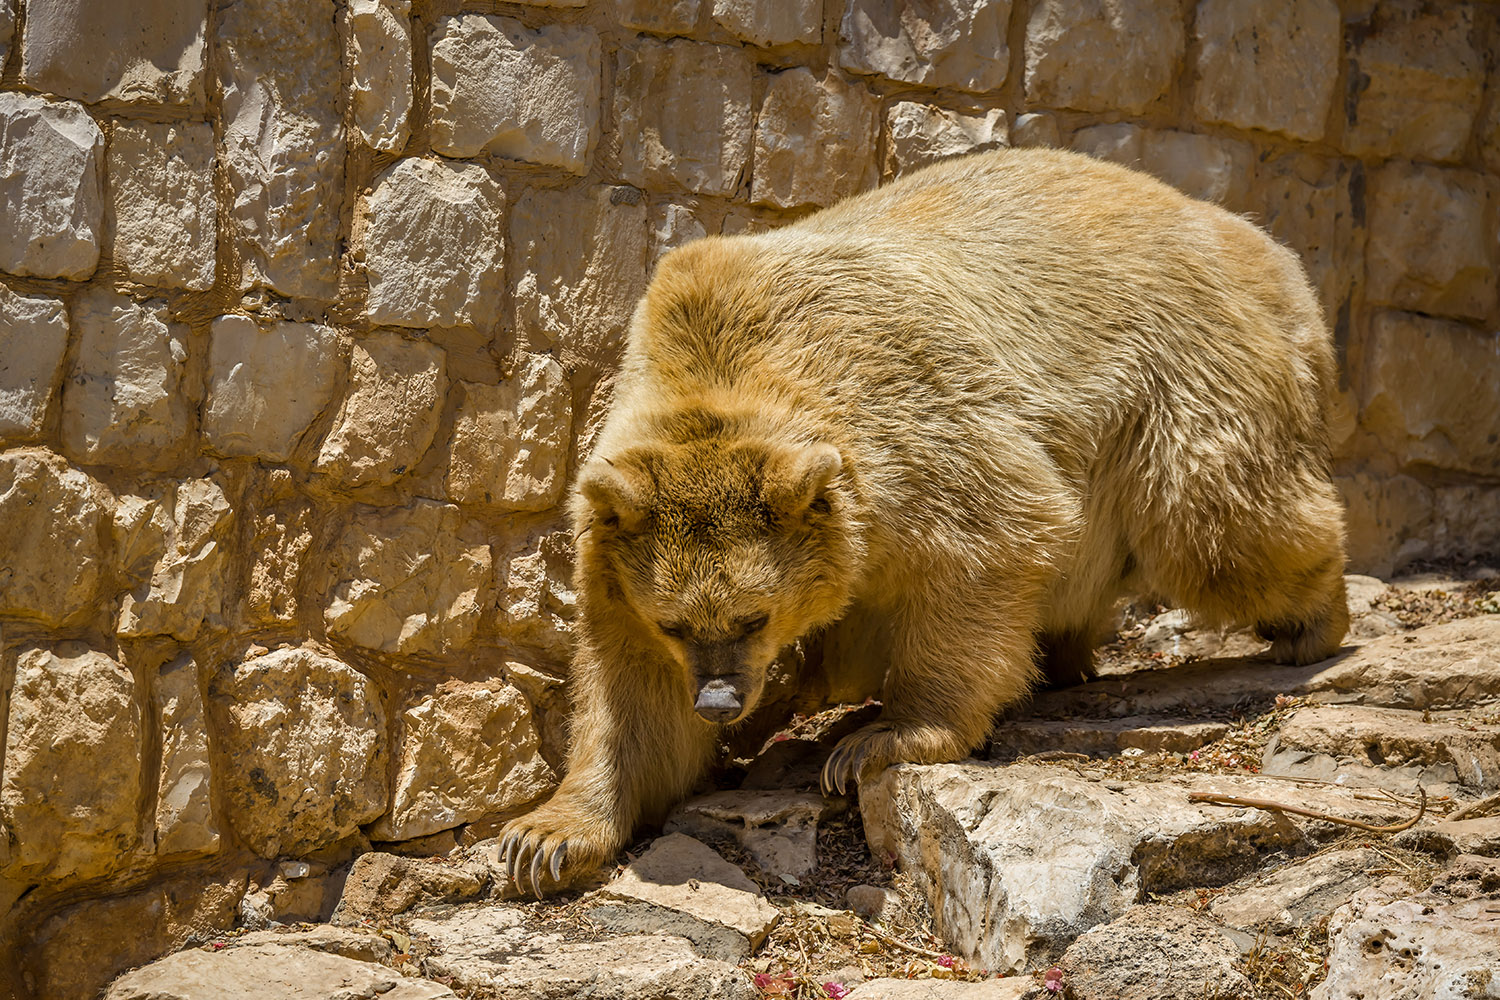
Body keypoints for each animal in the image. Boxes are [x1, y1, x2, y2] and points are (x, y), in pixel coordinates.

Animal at [501, 144, 1350, 893]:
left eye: (753, 615)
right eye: (677, 622)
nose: (717, 701)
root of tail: (1264, 247)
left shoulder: (910, 414)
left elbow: (990, 539)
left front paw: (874, 741)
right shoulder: (619, 557)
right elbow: (630, 698)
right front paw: (543, 839)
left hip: (1181, 373)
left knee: (1217, 522)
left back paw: (1311, 621)